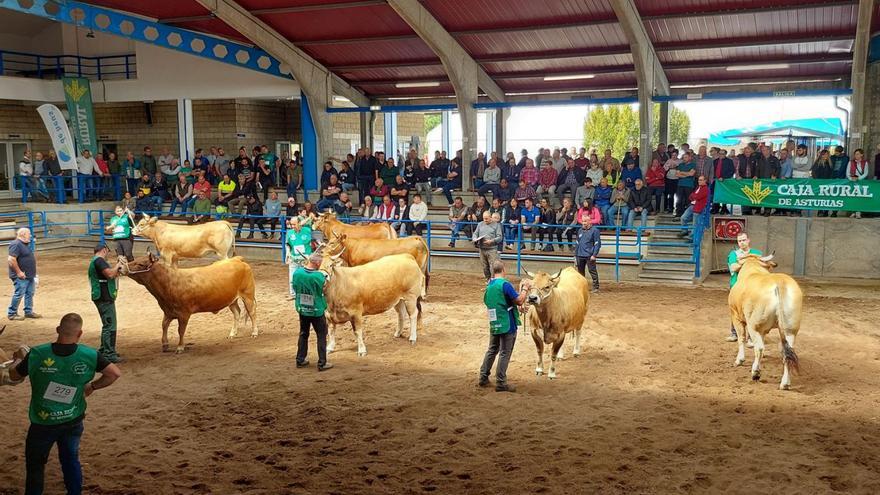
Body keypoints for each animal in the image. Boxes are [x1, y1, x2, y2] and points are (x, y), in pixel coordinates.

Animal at [117, 256, 256, 352]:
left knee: (252, 313)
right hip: (231, 300)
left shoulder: (184, 314)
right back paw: (232, 334)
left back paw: (254, 333)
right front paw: (165, 344)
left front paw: (180, 347)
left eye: (140, 264)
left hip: (248, 295)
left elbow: (181, 330)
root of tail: (237, 259)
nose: (119, 267)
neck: (170, 282)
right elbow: (164, 325)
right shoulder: (168, 311)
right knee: (237, 313)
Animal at [728, 254, 804, 390]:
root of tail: (779, 283)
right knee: (787, 353)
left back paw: (755, 373)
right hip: (790, 329)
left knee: (759, 348)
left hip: (754, 325)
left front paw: (739, 360)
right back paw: (785, 383)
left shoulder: (735, 315)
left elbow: (741, 338)